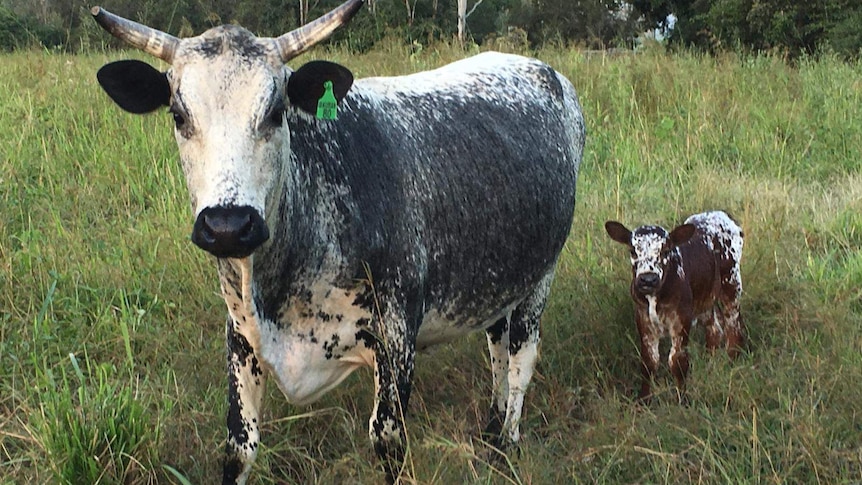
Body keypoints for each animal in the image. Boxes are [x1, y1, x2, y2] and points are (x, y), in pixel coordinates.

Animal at [89, 1, 588, 482]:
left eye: (276, 112)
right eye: (178, 114)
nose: (228, 225)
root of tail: (544, 70)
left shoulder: (396, 337)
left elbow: (388, 443)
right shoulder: (242, 339)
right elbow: (238, 448)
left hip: (541, 275)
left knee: (520, 358)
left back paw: (505, 442)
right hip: (497, 278)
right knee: (497, 349)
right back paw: (490, 429)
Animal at [604, 210, 744, 402]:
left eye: (665, 250)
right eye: (633, 251)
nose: (648, 279)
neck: (655, 298)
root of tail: (721, 214)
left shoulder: (681, 318)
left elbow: (677, 361)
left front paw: (682, 400)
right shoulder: (643, 319)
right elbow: (649, 361)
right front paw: (643, 400)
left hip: (731, 284)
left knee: (733, 327)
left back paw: (732, 362)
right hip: (705, 298)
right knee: (715, 329)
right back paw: (710, 364)